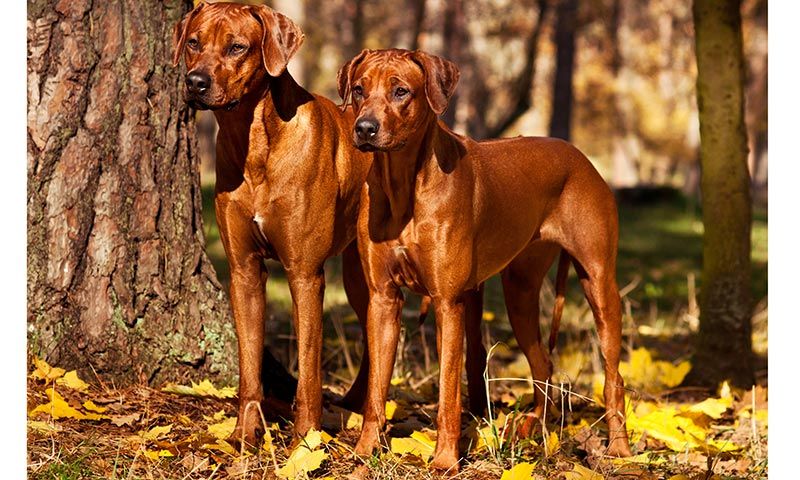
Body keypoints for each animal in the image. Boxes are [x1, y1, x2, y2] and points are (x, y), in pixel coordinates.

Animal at [338, 49, 632, 472]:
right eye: (359, 89)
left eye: (401, 91)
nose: (364, 128)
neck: (403, 184)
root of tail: (578, 155)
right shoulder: (382, 299)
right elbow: (376, 390)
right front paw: (365, 451)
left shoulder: (448, 303)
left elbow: (448, 392)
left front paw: (445, 459)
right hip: (520, 291)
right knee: (543, 364)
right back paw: (536, 430)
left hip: (599, 284)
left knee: (613, 375)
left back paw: (620, 449)